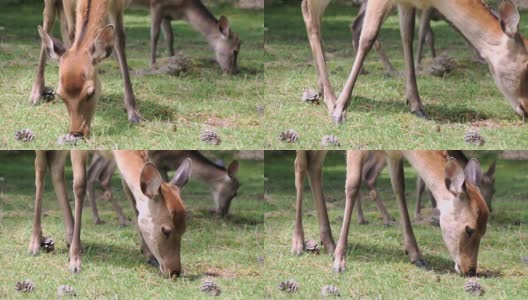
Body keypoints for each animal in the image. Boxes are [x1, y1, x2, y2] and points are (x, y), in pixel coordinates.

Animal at [34, 0, 143, 137]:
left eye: (92, 92)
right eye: (61, 94)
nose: (76, 133)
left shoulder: (118, 5)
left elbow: (119, 39)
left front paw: (134, 114)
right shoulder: (69, 4)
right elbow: (73, 33)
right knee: (49, 18)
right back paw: (36, 95)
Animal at [290, 150, 488, 276]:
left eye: (484, 230)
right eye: (469, 228)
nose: (470, 270)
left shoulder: (393, 154)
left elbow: (399, 187)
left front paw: (417, 256)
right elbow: (352, 186)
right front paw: (339, 262)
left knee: (315, 165)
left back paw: (329, 243)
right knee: (300, 165)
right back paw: (298, 244)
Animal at [304, 0, 528, 122]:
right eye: (526, 65)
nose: (526, 108)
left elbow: (408, 36)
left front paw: (417, 106)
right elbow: (368, 37)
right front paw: (340, 111)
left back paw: (320, 89)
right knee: (310, 16)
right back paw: (330, 99)